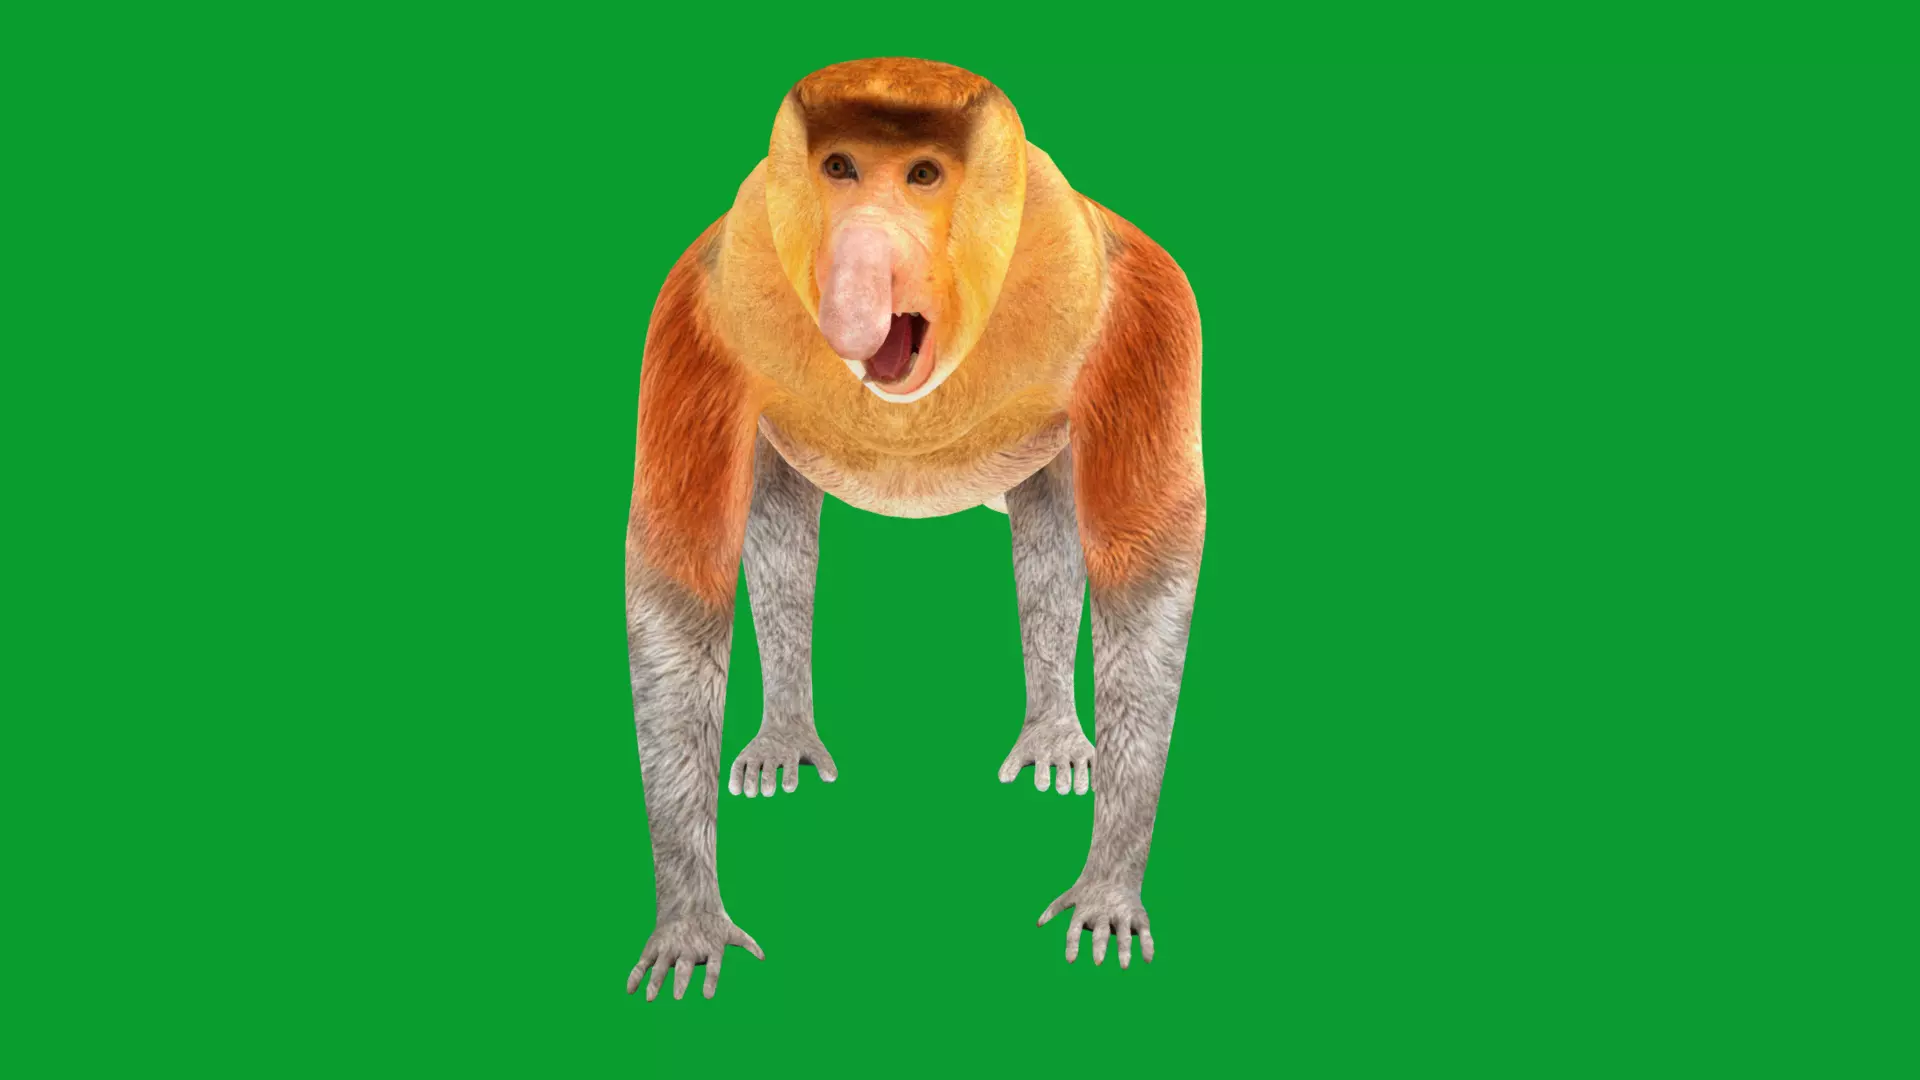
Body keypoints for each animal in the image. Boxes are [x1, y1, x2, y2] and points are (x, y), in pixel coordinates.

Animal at [624, 58, 1203, 1002]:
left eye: (924, 174)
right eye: (840, 167)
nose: (856, 302)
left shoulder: (1138, 306)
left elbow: (1145, 584)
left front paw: (1106, 896)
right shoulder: (703, 307)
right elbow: (680, 588)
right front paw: (691, 928)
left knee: (1049, 530)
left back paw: (1054, 741)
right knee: (782, 521)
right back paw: (785, 740)